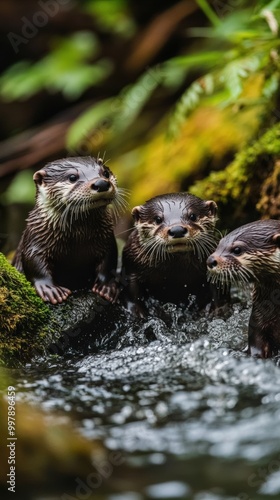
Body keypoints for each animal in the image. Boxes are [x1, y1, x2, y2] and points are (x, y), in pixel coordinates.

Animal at [13, 156, 126, 304]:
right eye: (72, 177)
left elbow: (109, 261)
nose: (101, 183)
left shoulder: (106, 239)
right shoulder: (35, 239)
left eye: (106, 173)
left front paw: (106, 286)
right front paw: (50, 289)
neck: (77, 238)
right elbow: (34, 263)